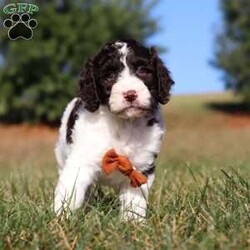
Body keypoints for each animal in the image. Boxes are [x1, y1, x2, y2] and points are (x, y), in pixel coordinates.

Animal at [54, 39, 174, 221]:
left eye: (142, 70)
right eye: (109, 76)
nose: (130, 94)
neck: (123, 124)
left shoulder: (140, 167)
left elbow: (134, 201)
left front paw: (132, 222)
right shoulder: (80, 161)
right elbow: (70, 191)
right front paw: (61, 219)